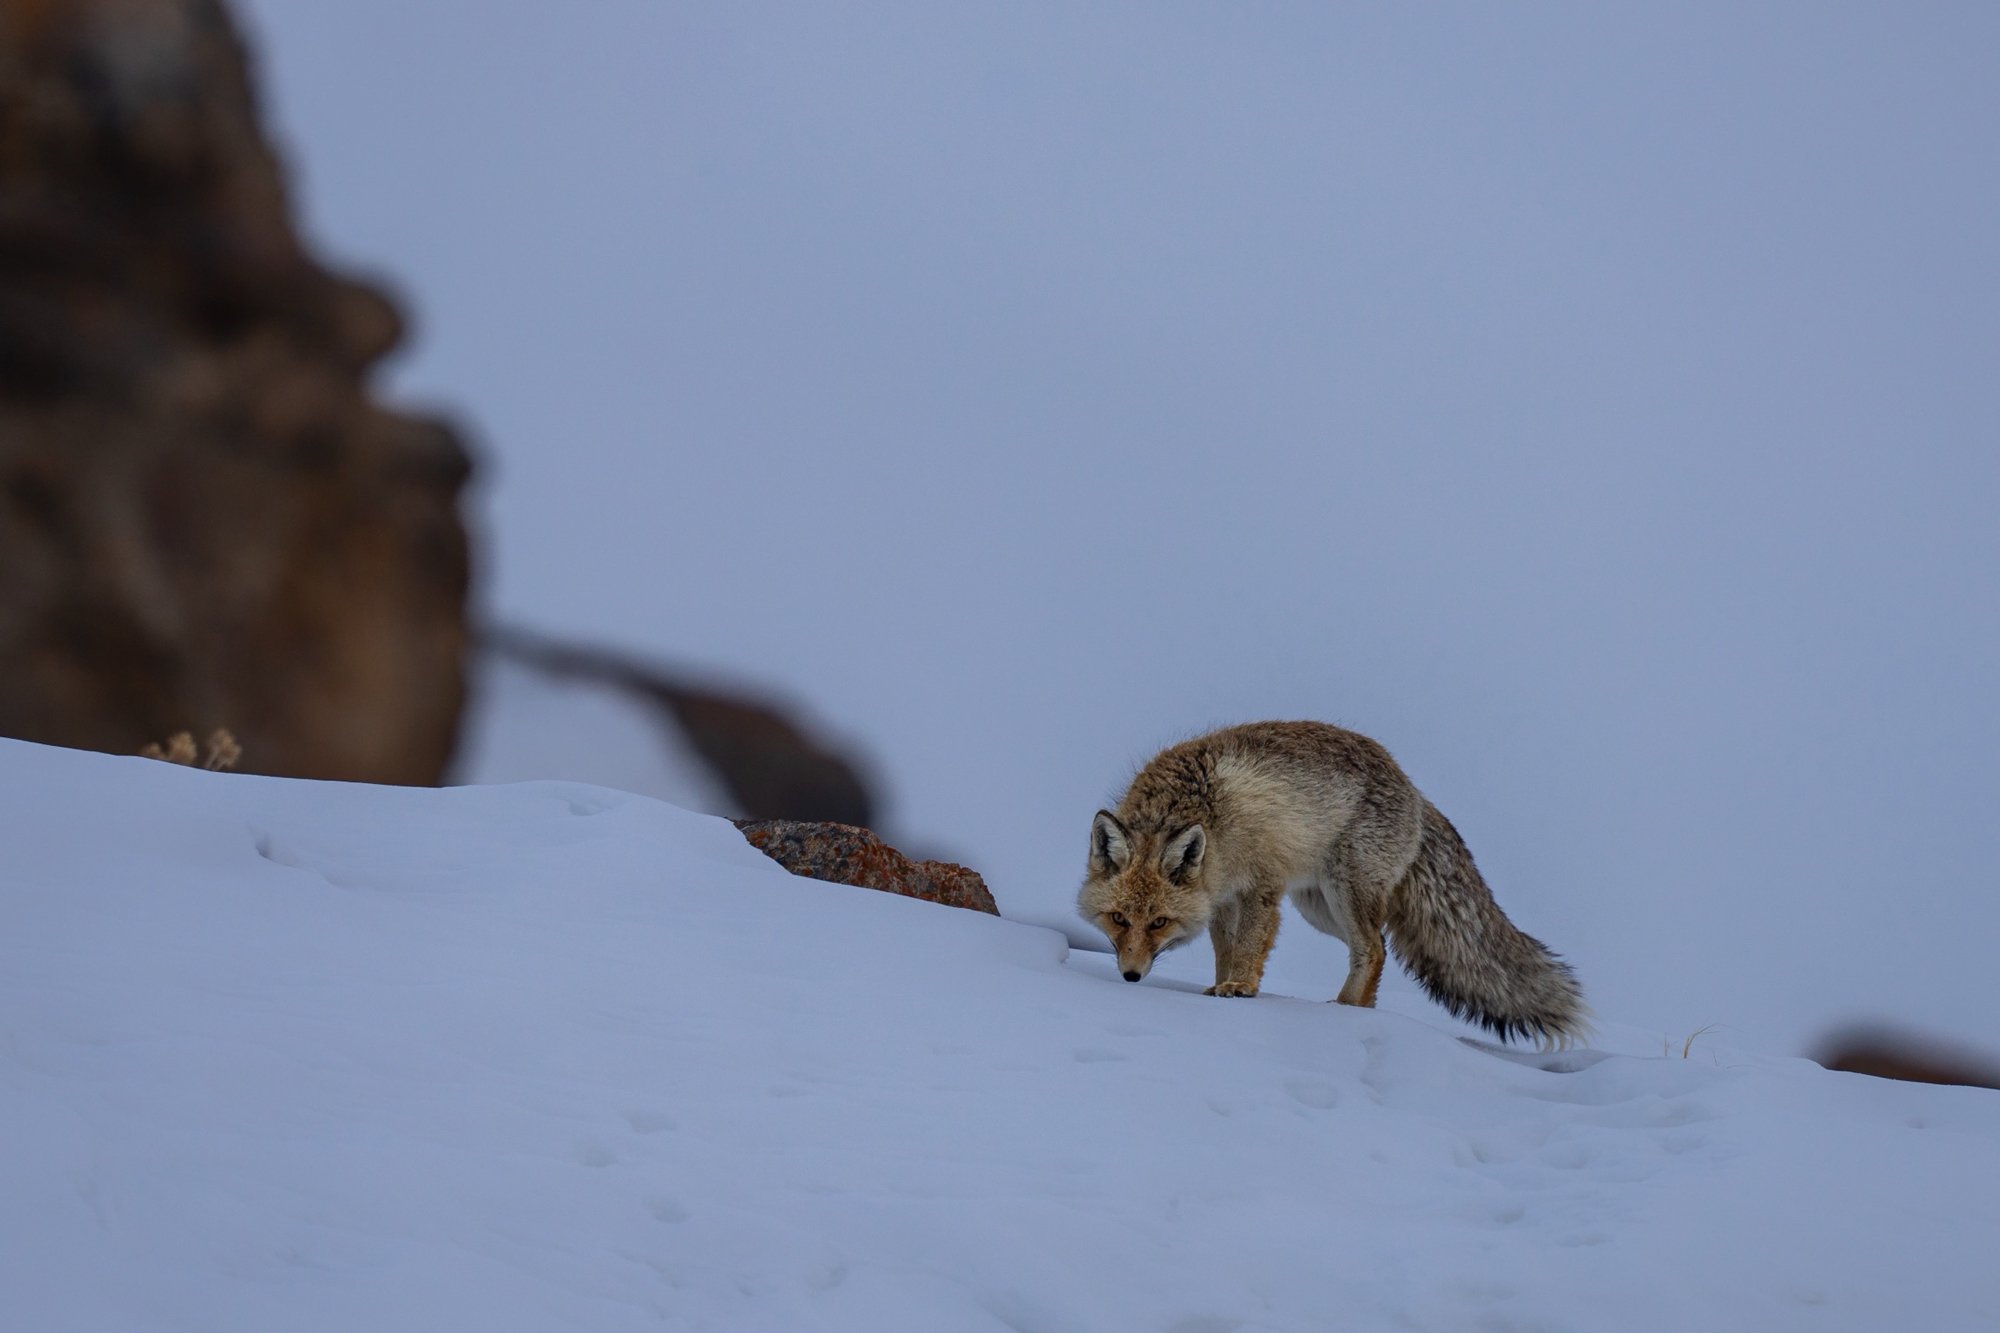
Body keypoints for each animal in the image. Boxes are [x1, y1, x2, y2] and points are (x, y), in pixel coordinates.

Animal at [1077, 721, 1588, 1046]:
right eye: (1119, 918)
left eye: (1159, 922)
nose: (1130, 976)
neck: (1212, 821)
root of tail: (1415, 791)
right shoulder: (1221, 899)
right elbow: (1226, 950)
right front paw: (1222, 985)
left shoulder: (1262, 886)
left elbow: (1250, 947)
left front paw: (1240, 989)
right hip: (1319, 906)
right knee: (1376, 951)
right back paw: (1356, 1011)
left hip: (1346, 892)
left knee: (1374, 948)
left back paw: (1342, 1010)